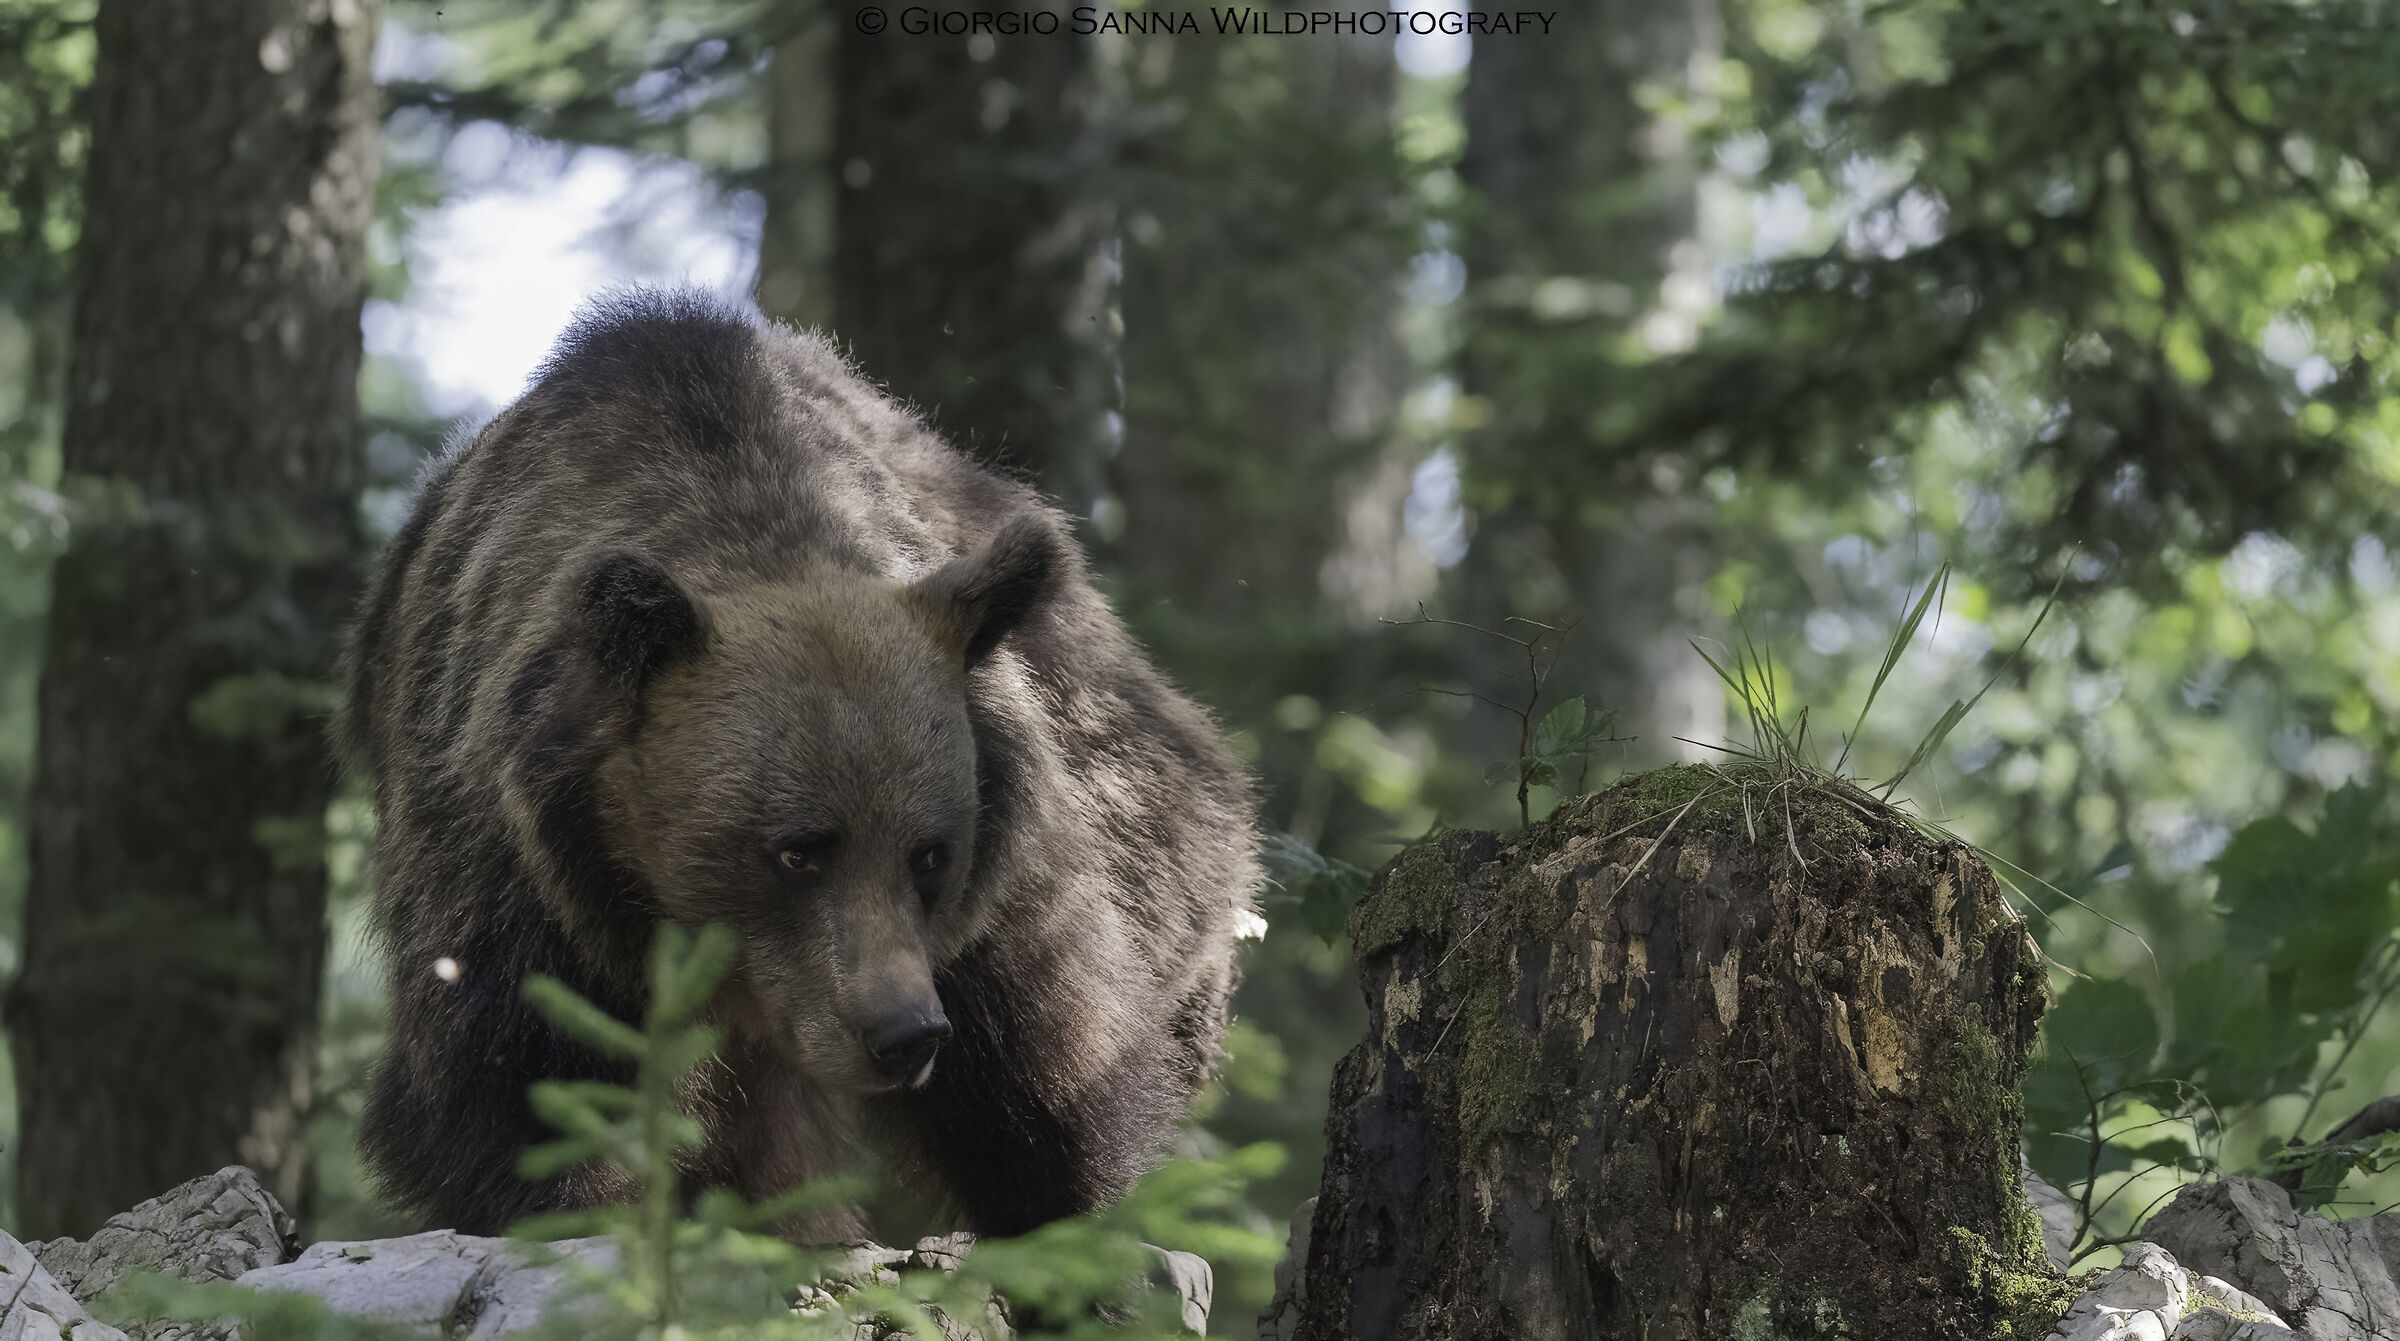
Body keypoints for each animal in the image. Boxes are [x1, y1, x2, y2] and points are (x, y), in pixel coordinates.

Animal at [337, 289, 1261, 1239]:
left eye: (931, 853)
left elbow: (1043, 1068)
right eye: (796, 848)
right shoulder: (519, 874)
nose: (904, 1032)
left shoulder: (1003, 875)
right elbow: (529, 1084)